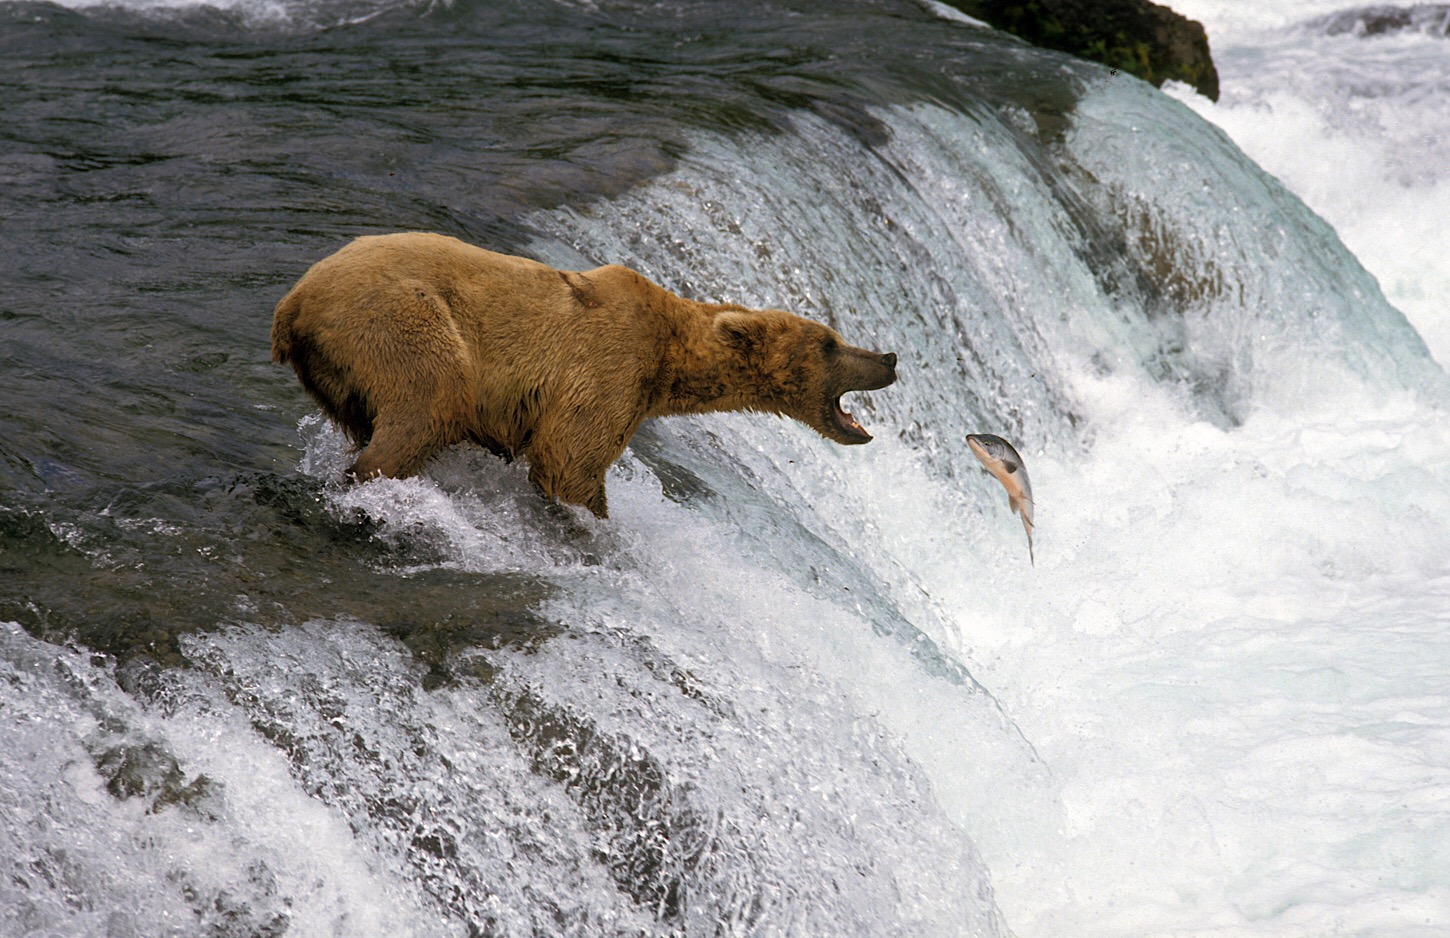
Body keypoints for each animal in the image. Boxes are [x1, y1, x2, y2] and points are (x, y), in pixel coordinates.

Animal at [271, 231, 893, 516]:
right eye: (830, 343)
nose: (888, 359)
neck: (669, 363)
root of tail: (293, 303)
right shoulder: (608, 364)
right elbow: (570, 461)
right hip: (400, 319)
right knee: (432, 401)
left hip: (340, 373)